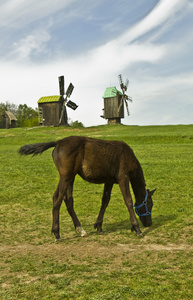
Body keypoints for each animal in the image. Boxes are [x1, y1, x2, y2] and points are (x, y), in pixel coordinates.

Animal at [19, 137, 155, 240]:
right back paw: (57, 233)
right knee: (57, 198)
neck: (128, 156)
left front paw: (99, 226)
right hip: (66, 176)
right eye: (150, 204)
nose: (149, 223)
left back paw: (81, 230)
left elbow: (105, 201)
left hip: (71, 177)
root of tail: (58, 142)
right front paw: (137, 229)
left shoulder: (109, 181)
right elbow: (128, 201)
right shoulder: (123, 178)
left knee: (68, 200)